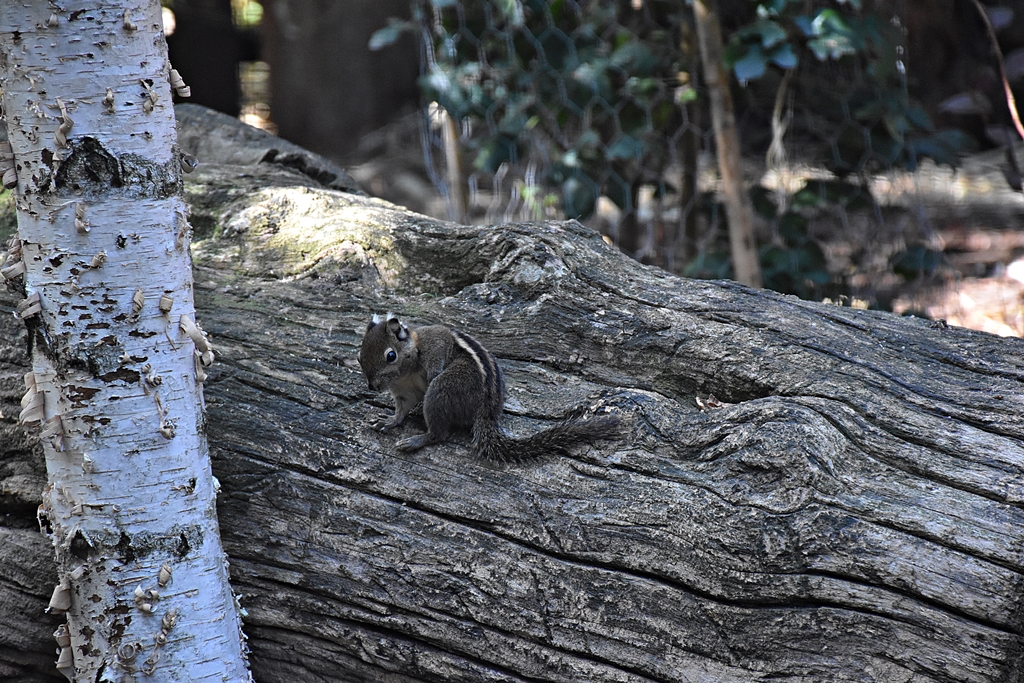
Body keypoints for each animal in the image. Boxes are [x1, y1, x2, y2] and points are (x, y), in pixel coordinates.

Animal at [358, 313, 621, 462]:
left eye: (391, 355)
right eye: (359, 358)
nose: (372, 386)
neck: (406, 373)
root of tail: (486, 411)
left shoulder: (435, 343)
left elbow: (438, 354)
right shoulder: (403, 392)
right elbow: (401, 412)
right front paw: (388, 421)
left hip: (443, 390)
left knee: (439, 434)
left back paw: (415, 441)